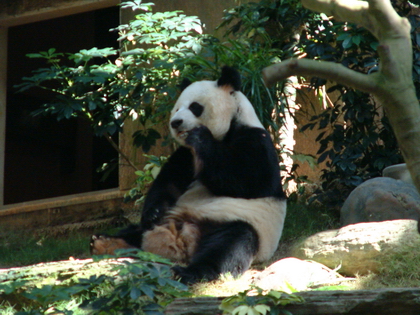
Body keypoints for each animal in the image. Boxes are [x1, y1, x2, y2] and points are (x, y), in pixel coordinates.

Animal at [91, 66, 288, 284]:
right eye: (177, 108)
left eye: (195, 107)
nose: (176, 122)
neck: (226, 131)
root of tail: (179, 240)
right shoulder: (185, 155)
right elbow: (167, 183)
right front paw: (153, 212)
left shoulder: (256, 142)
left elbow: (248, 180)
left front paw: (199, 135)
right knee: (136, 231)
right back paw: (106, 242)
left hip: (237, 224)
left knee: (230, 244)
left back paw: (189, 272)